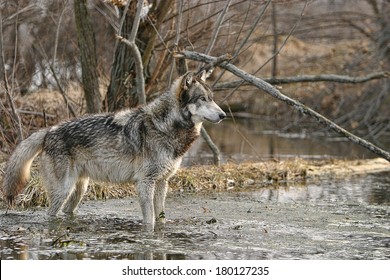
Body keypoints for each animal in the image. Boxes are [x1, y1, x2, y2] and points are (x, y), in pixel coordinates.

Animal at [1, 71, 225, 226]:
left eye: (212, 98)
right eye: (202, 99)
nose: (223, 115)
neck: (164, 126)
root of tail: (49, 131)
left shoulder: (162, 182)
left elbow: (161, 216)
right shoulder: (145, 183)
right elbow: (150, 219)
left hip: (79, 189)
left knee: (67, 212)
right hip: (63, 190)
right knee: (50, 214)